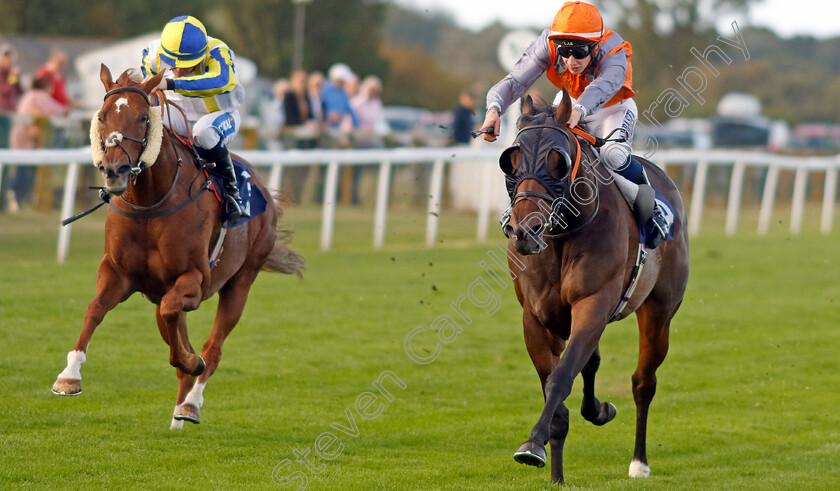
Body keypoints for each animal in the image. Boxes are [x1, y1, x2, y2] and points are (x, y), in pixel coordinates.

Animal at [51, 63, 306, 428]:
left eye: (144, 117)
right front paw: (69, 376)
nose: (115, 169)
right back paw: (178, 410)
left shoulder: (195, 280)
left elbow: (183, 329)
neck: (151, 203)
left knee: (213, 346)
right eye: (101, 116)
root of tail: (263, 190)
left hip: (241, 281)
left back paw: (191, 403)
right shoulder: (118, 273)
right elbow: (95, 309)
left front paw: (191, 362)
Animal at [498, 93, 688, 484]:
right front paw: (553, 470)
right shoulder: (536, 318)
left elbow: (560, 379)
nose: (524, 230)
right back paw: (598, 411)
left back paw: (639, 462)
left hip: (659, 313)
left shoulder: (593, 303)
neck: (561, 237)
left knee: (643, 382)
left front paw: (532, 445)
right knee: (593, 362)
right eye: (511, 160)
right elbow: (557, 382)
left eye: (558, 160)